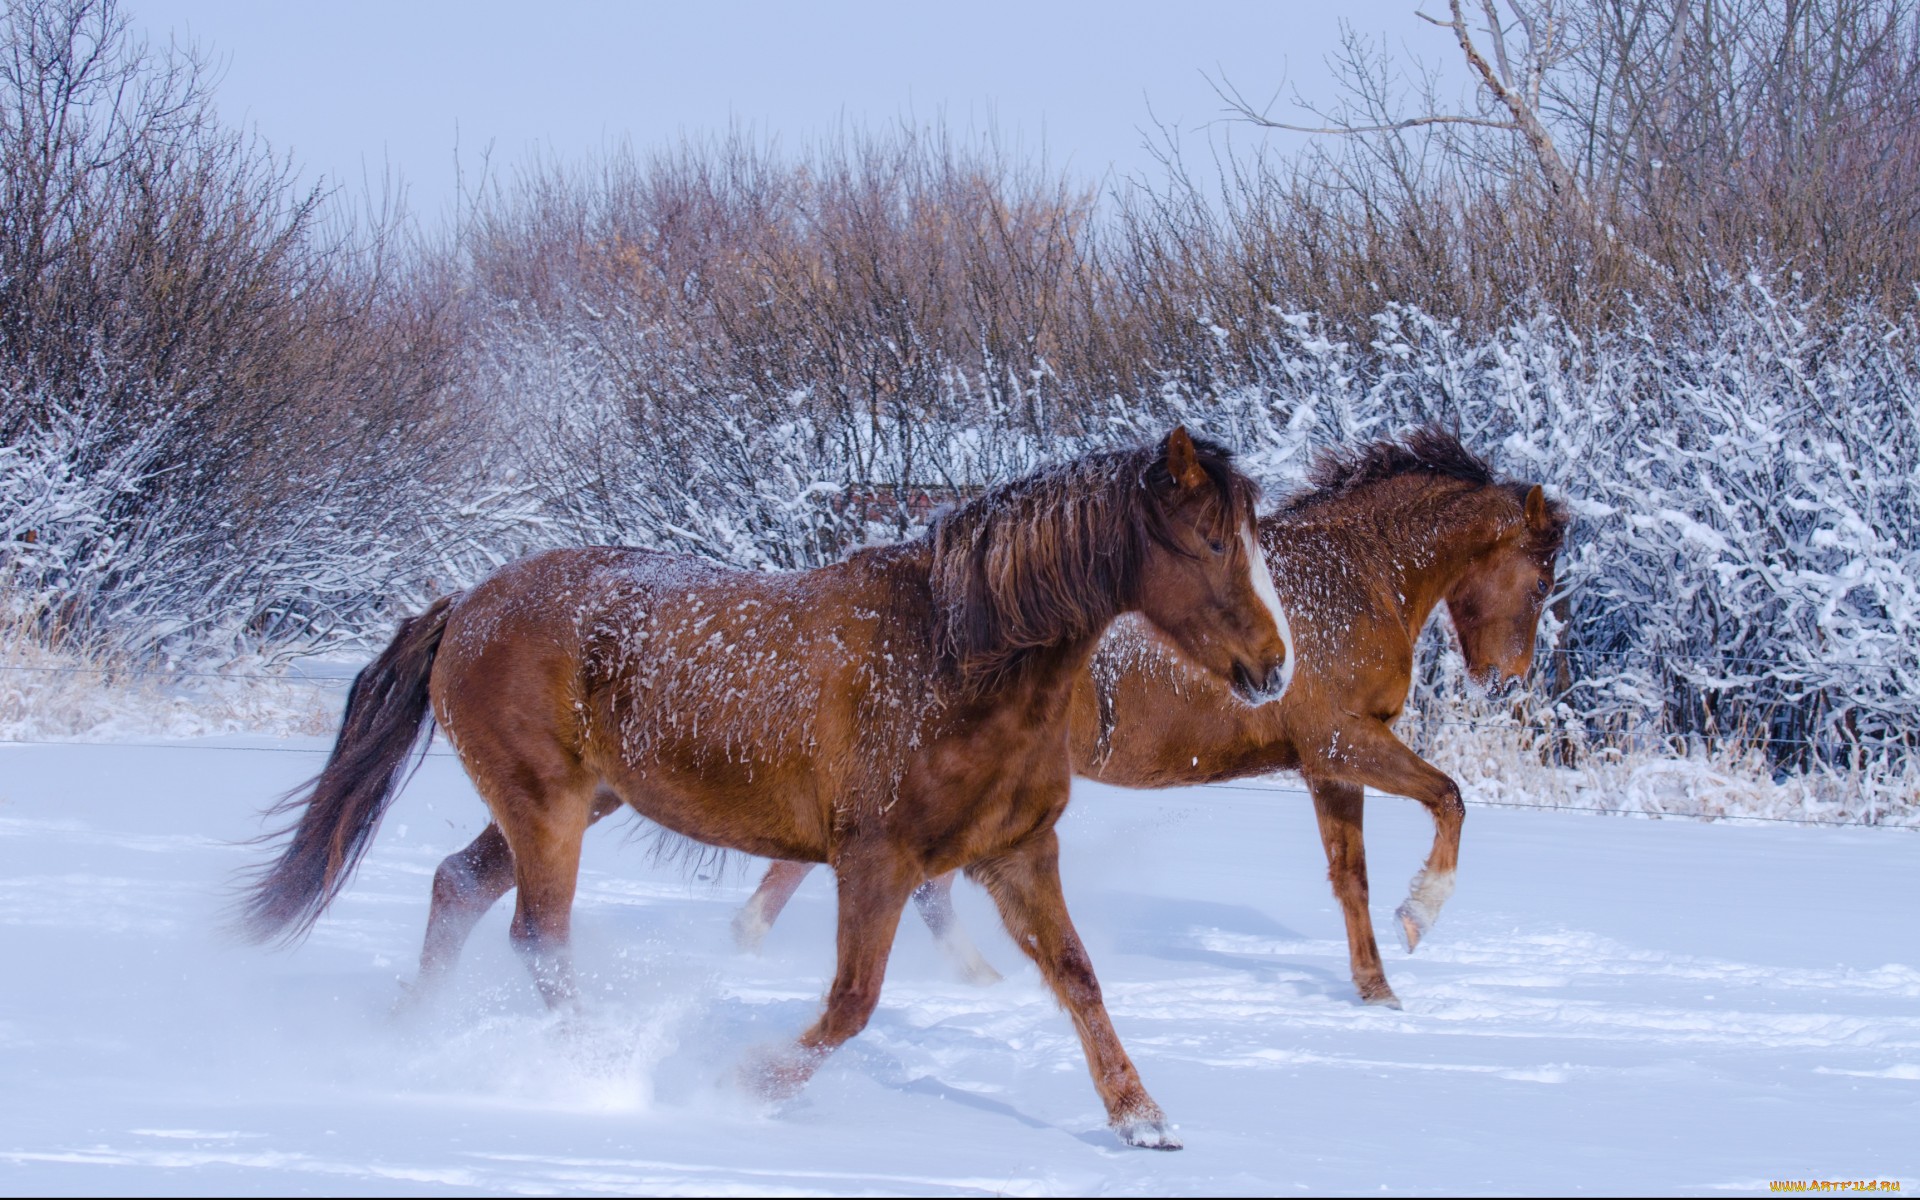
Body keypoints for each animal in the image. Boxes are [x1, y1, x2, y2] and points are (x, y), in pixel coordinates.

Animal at [240, 426, 1290, 1144]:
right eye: (1209, 544)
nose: (1273, 669)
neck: (955, 659)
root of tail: (466, 604)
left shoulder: (1016, 855)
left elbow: (1078, 977)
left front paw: (1142, 1118)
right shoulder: (876, 862)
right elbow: (852, 1003)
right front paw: (745, 1085)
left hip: (567, 805)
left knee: (459, 888)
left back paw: (410, 1034)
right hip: (546, 808)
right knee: (538, 938)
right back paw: (594, 1068)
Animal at [729, 426, 1559, 1006]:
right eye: (1542, 575)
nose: (1505, 679)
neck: (1353, 580)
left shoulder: (1326, 769)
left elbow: (1350, 877)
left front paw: (1377, 989)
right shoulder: (1344, 741)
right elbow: (1448, 798)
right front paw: (1418, 915)